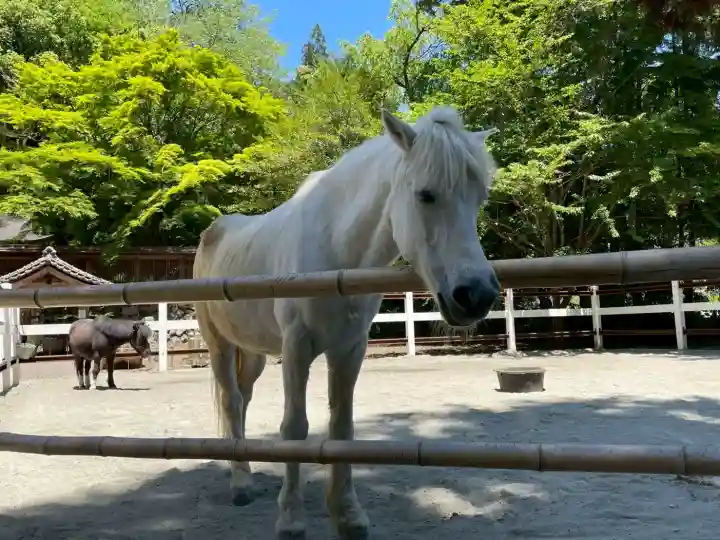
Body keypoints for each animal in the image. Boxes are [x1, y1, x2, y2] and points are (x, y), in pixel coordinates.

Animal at [193, 106, 501, 540]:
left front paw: (347, 515)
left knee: (242, 398)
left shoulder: (349, 349)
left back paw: (245, 466)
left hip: (253, 353)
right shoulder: (296, 348)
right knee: (231, 400)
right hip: (220, 344)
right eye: (425, 194)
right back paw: (240, 483)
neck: (335, 248)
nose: (477, 295)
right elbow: (295, 428)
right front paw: (291, 519)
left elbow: (342, 428)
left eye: (480, 198)